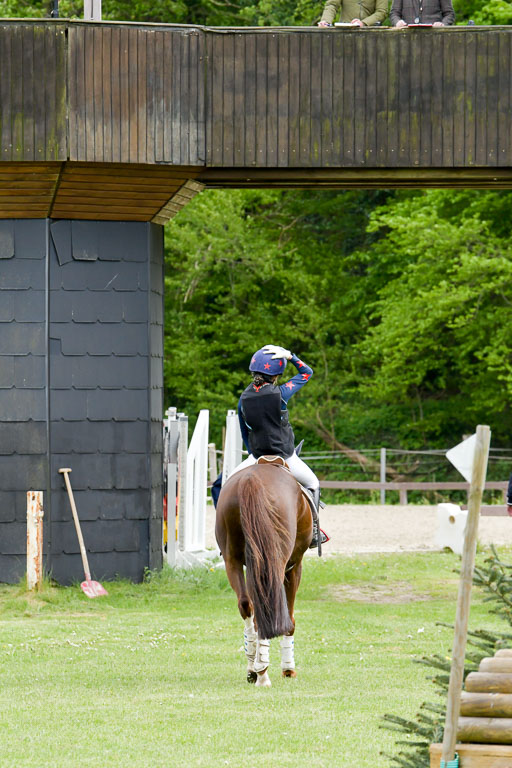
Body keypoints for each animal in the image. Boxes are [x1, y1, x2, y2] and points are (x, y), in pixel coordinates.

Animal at [213, 460, 310, 688]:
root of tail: (252, 479)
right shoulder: (294, 566)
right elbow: (290, 618)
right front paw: (288, 668)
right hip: (277, 561)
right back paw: (263, 673)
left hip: (233, 561)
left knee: (246, 604)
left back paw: (253, 668)